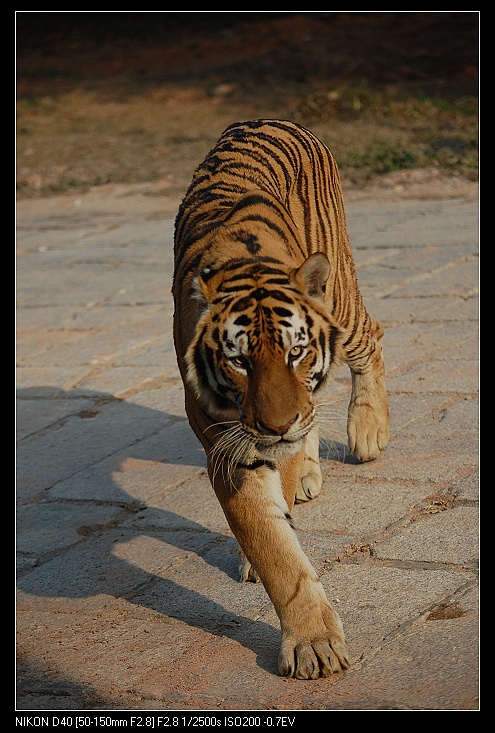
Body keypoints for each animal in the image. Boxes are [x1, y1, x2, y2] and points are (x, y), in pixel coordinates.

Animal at [172, 117, 390, 676]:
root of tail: (264, 118)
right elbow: (276, 550)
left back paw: (367, 432)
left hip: (341, 296)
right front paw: (314, 643)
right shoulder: (229, 449)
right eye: (240, 361)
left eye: (296, 351)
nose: (277, 425)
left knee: (371, 337)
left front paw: (314, 646)